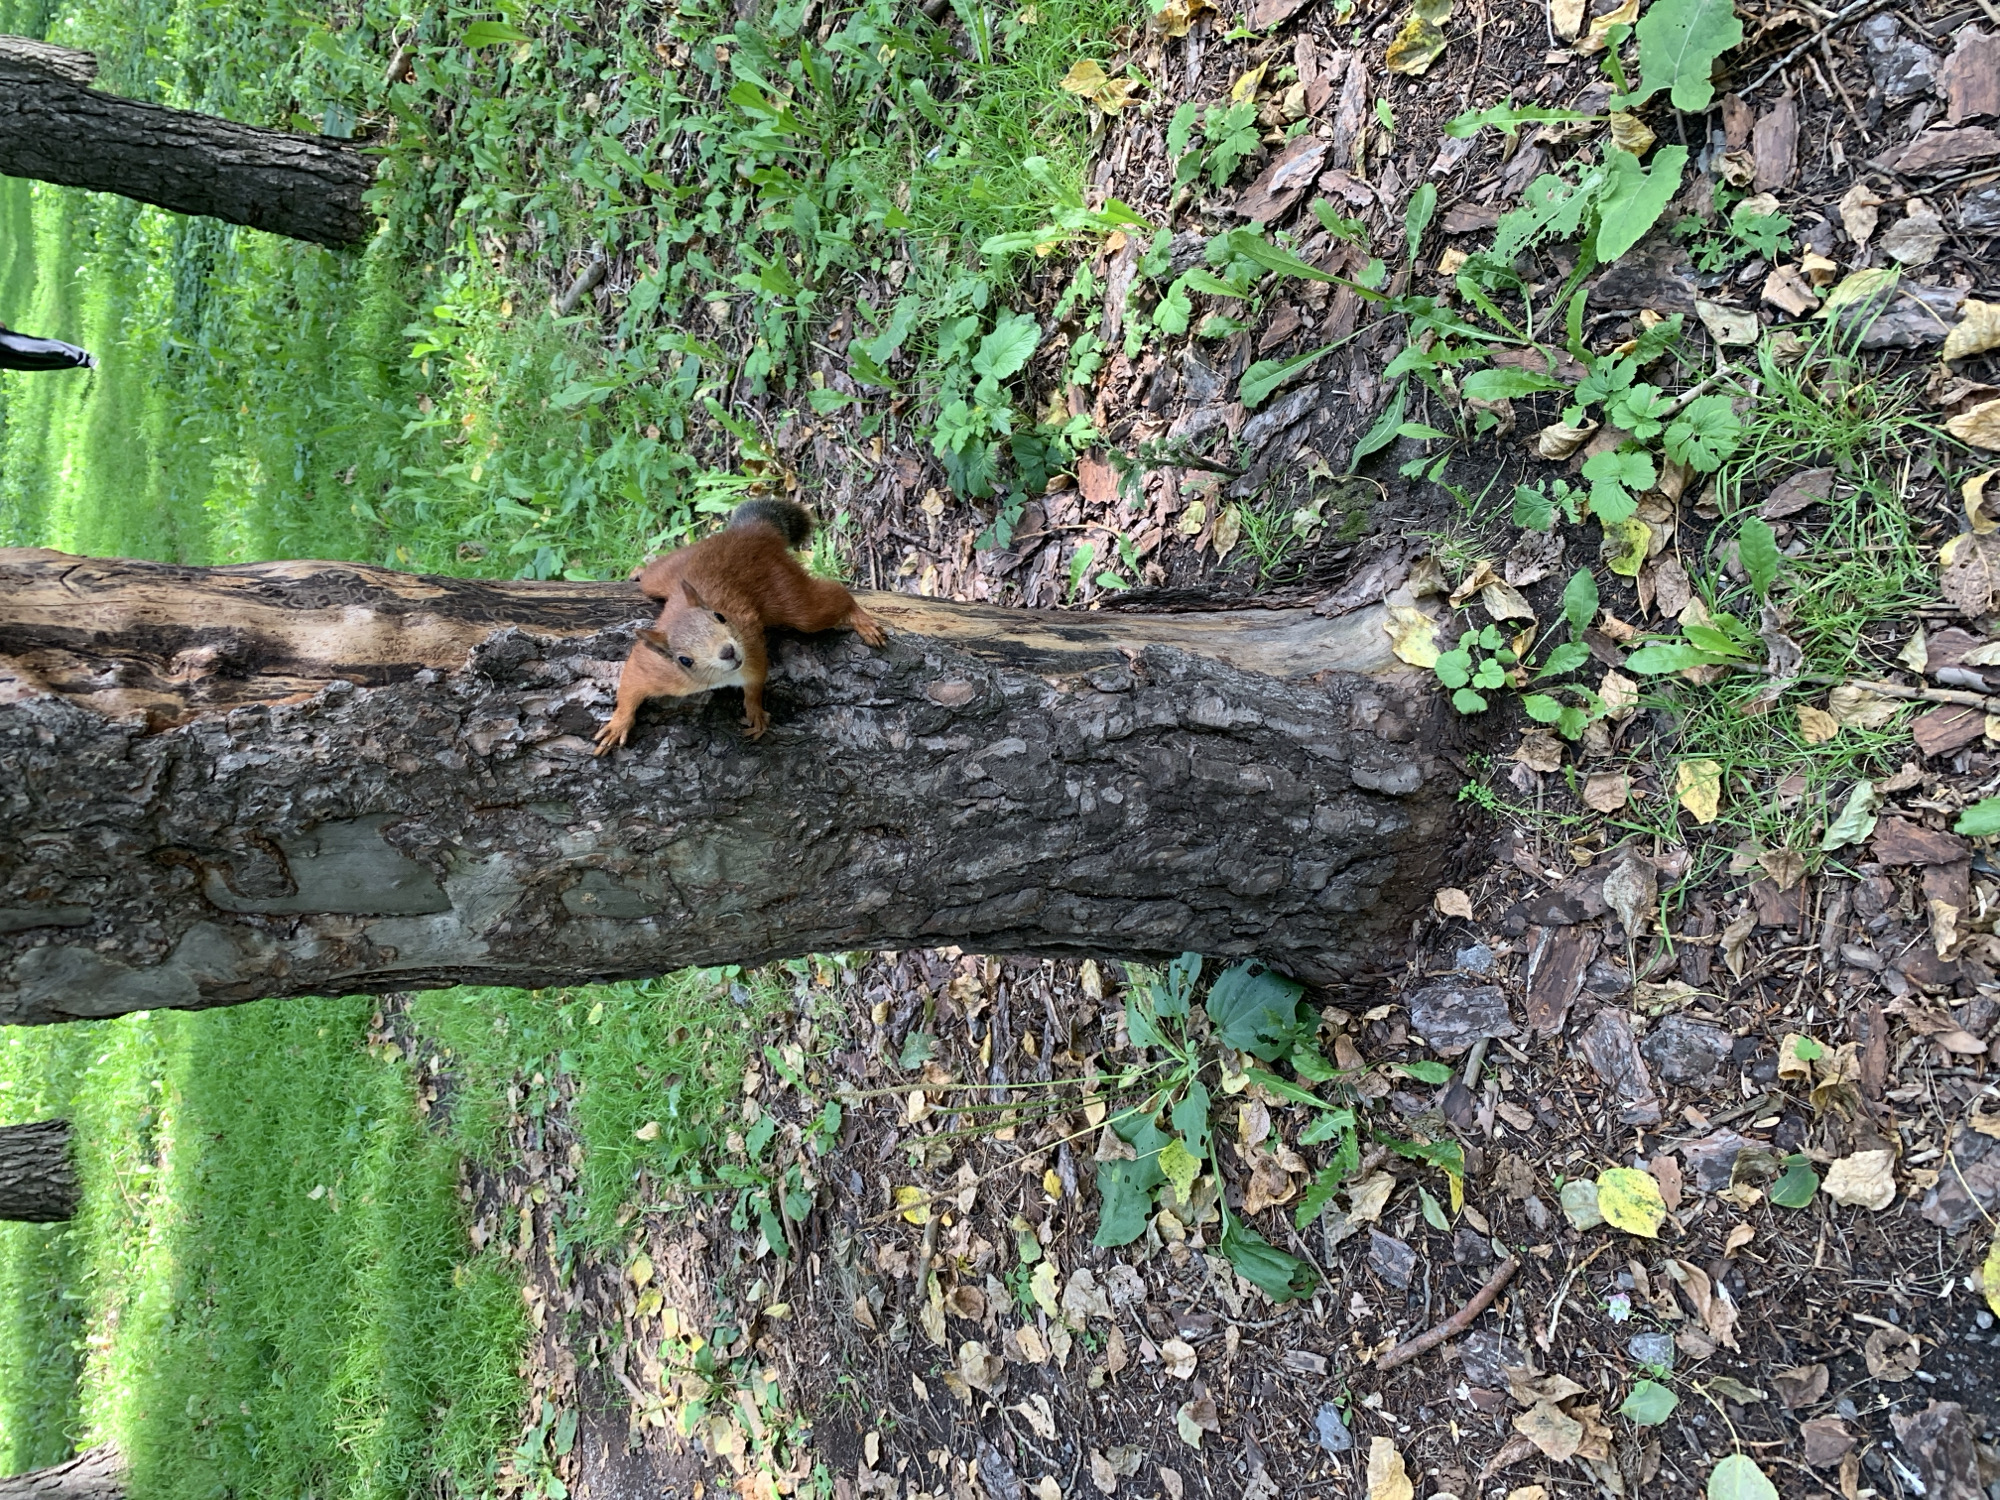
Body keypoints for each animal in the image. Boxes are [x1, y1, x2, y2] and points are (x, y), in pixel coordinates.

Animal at [594, 497, 886, 753]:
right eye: (685, 660)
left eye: (720, 616)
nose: (728, 651)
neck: (718, 678)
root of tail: (749, 531)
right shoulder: (659, 669)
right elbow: (631, 681)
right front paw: (618, 724)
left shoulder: (750, 646)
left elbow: (757, 680)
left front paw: (754, 711)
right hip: (668, 573)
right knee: (654, 572)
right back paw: (638, 571)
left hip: (784, 587)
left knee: (828, 601)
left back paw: (859, 619)